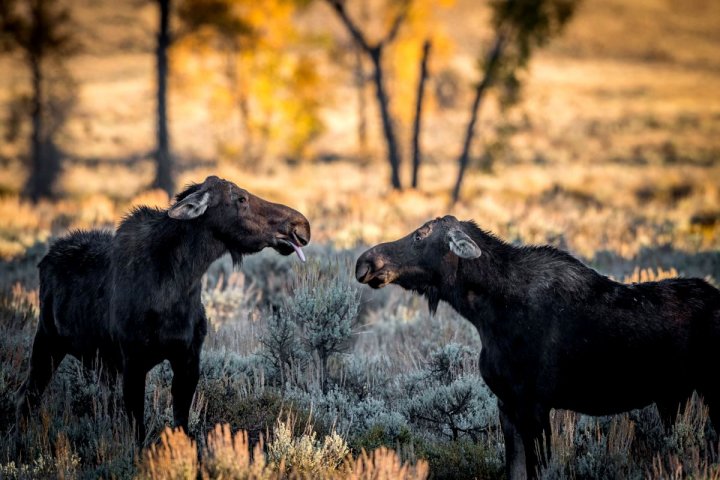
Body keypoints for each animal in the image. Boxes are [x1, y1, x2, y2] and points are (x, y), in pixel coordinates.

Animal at [16, 175, 310, 442]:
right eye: (240, 199)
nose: (301, 225)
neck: (180, 284)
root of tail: (45, 259)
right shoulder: (133, 360)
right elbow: (138, 432)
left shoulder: (188, 357)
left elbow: (181, 425)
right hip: (48, 339)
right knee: (27, 396)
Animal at [354, 216, 720, 478]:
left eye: (421, 234)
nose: (365, 261)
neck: (485, 315)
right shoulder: (507, 404)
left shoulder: (535, 404)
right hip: (674, 396)